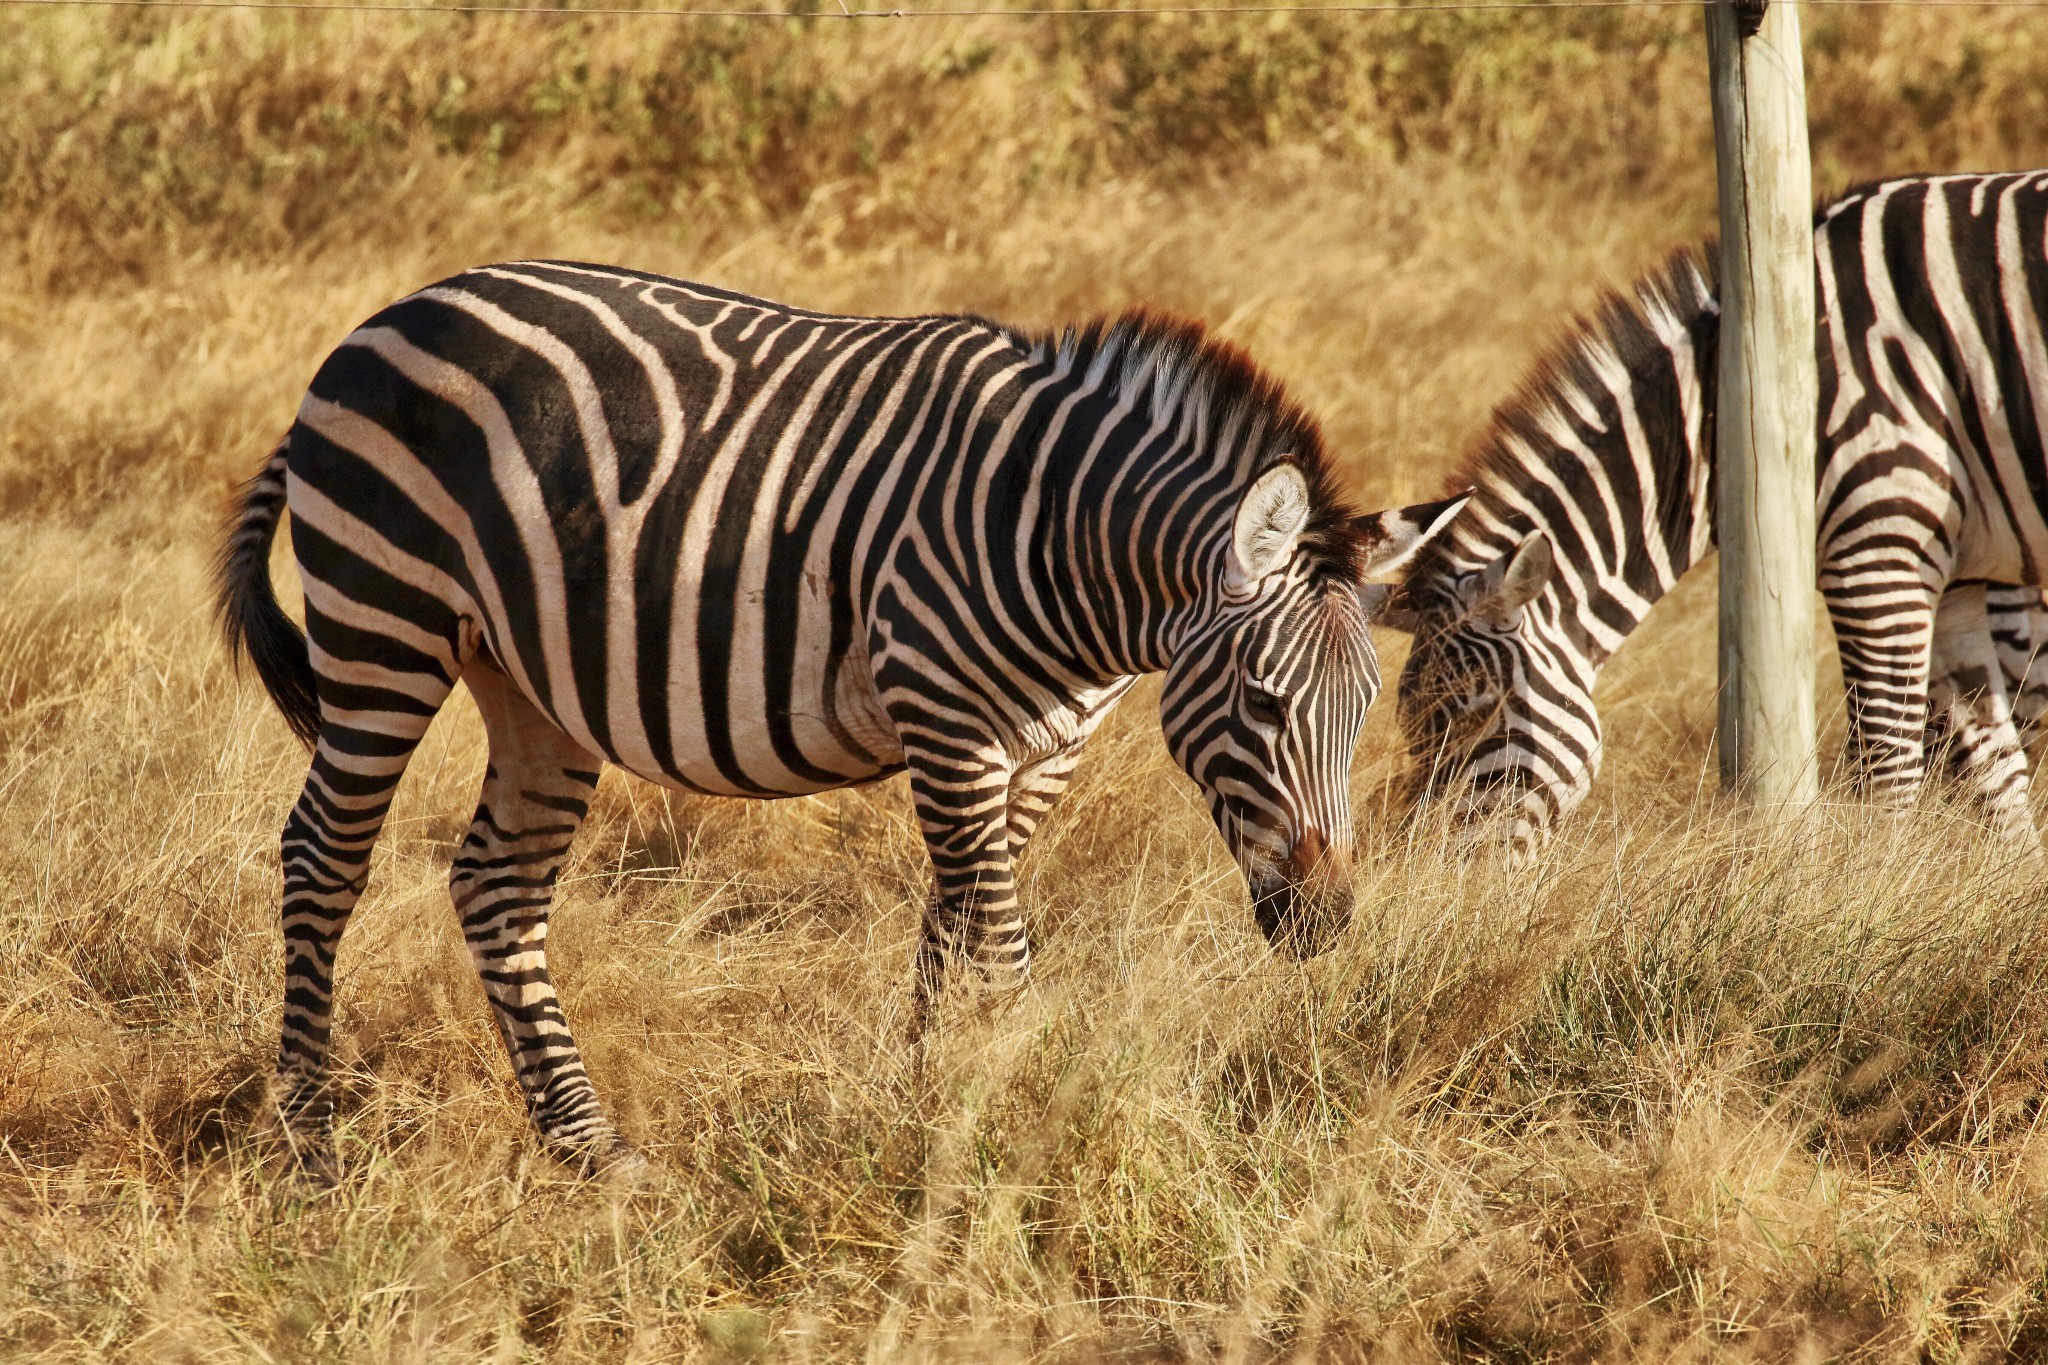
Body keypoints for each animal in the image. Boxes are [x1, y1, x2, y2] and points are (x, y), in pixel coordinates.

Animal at [220, 263, 1474, 1178]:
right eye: (1262, 701)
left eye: (1365, 713)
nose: (1323, 925)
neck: (1067, 546)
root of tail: (387, 316)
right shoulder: (945, 718)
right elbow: (998, 943)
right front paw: (1016, 1116)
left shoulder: (1040, 751)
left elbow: (951, 926)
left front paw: (925, 1103)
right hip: (383, 622)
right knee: (321, 856)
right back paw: (311, 1139)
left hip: (527, 682)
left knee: (498, 886)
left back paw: (588, 1148)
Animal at [1384, 170, 2048, 863]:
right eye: (1413, 731)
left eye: (1475, 714)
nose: (1422, 870)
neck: (1723, 412)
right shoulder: (1954, 577)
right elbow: (1999, 781)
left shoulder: (1879, 553)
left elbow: (1888, 778)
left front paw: (1870, 892)